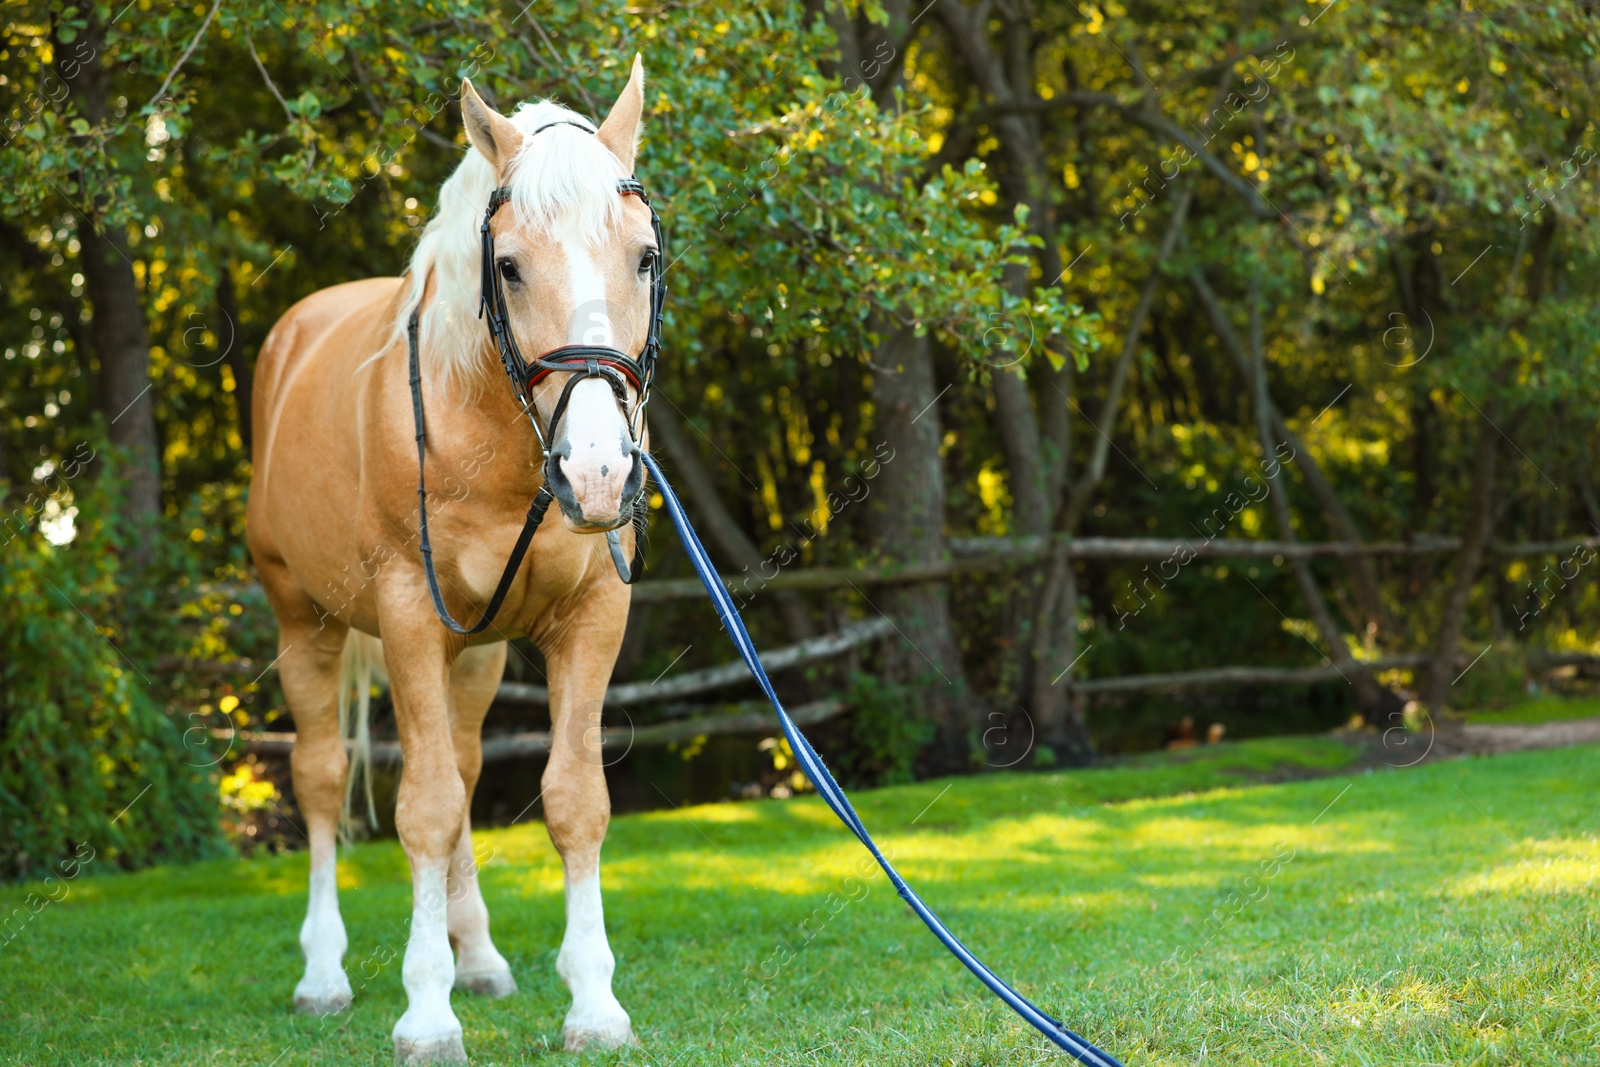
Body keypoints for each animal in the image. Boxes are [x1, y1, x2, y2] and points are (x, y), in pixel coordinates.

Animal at [244, 62, 656, 1062]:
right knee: (323, 778)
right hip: (305, 625)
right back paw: (325, 974)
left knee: (466, 769)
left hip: (477, 654)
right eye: (508, 266)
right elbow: (422, 807)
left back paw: (480, 958)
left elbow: (573, 798)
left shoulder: (592, 617)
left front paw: (593, 1001)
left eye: (645, 257)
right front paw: (426, 1013)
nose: (597, 471)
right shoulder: (406, 619)